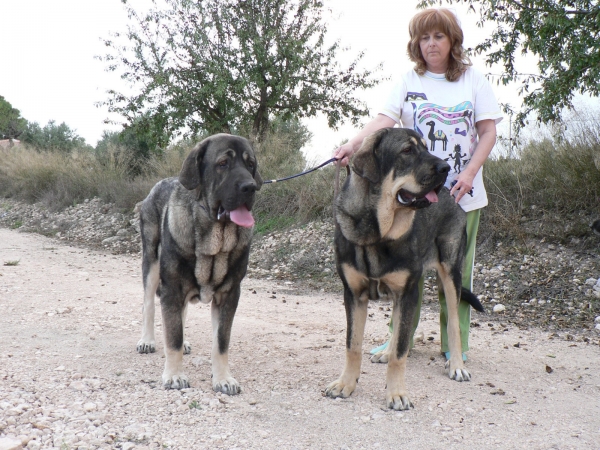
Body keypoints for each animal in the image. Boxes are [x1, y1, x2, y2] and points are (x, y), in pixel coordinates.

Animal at [139, 134, 264, 394]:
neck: (215, 235)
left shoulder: (229, 296)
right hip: (151, 264)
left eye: (250, 164)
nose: (250, 187)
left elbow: (221, 342)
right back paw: (147, 340)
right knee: (149, 306)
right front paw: (174, 375)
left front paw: (223, 378)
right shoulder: (172, 288)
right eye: (223, 163)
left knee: (181, 314)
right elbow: (173, 338)